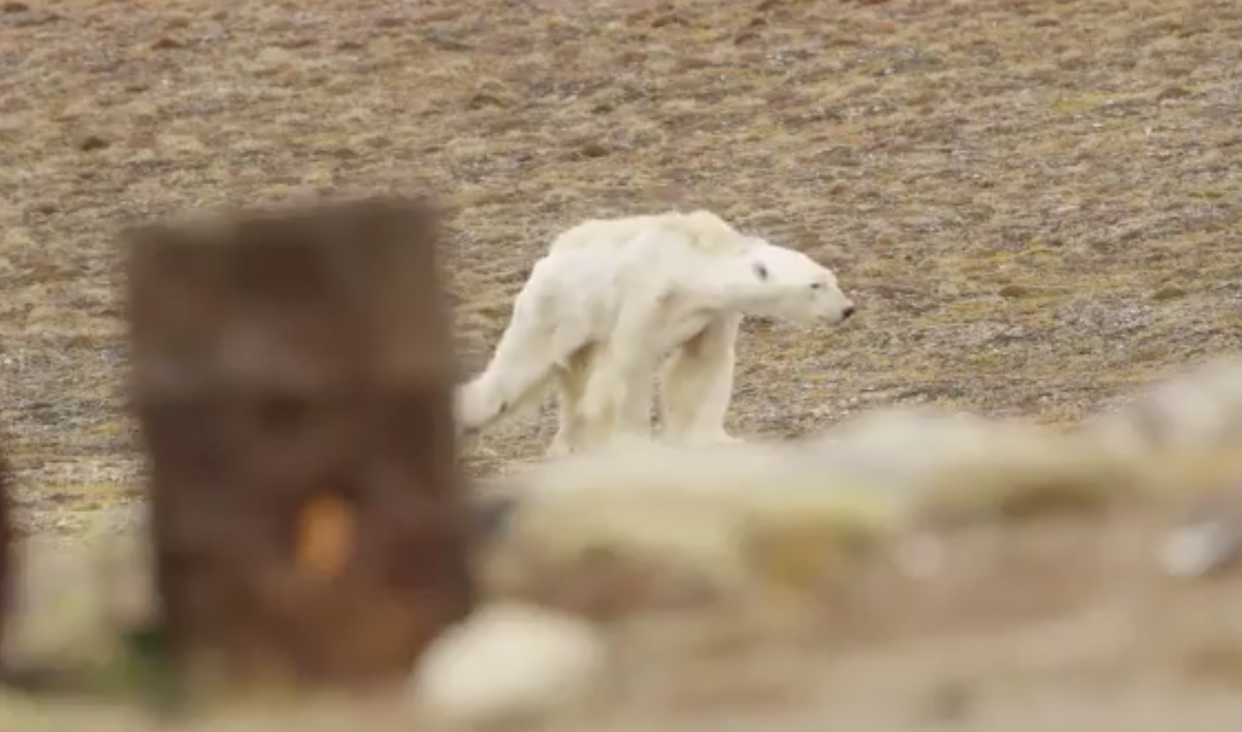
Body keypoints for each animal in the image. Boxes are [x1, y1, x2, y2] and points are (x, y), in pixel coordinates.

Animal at [454, 208, 854, 454]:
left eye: (831, 277)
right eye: (816, 285)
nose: (847, 309)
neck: (691, 263)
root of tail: (548, 258)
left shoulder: (713, 313)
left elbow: (701, 365)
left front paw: (714, 440)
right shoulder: (646, 295)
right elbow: (629, 366)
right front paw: (633, 444)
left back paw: (569, 445)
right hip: (555, 309)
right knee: (520, 369)